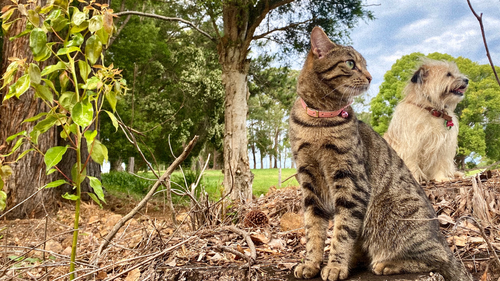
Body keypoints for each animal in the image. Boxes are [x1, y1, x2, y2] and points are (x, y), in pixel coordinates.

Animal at [290, 26, 468, 280]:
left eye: (365, 65)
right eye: (351, 63)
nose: (370, 77)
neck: (318, 121)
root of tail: (441, 239)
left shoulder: (351, 183)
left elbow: (341, 233)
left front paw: (335, 266)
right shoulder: (309, 184)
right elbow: (313, 230)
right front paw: (311, 263)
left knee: (436, 259)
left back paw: (387, 264)